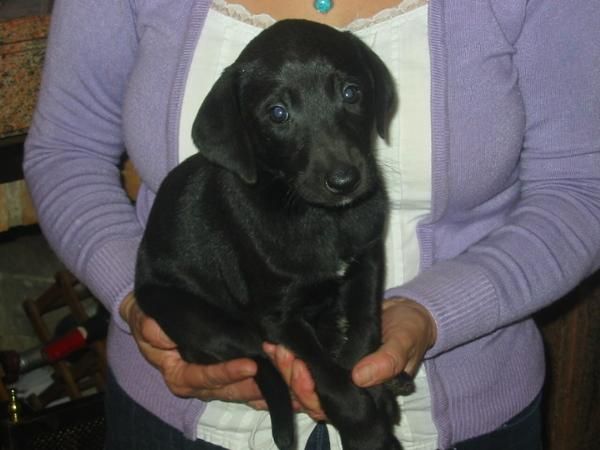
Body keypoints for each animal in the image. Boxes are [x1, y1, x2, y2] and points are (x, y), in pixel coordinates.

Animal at [136, 18, 404, 450]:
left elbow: (363, 334)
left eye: (351, 92)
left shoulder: (366, 267)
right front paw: (368, 431)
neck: (320, 217)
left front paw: (375, 384)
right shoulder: (277, 317)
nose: (344, 181)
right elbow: (331, 378)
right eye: (278, 114)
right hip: (204, 319)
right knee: (260, 359)